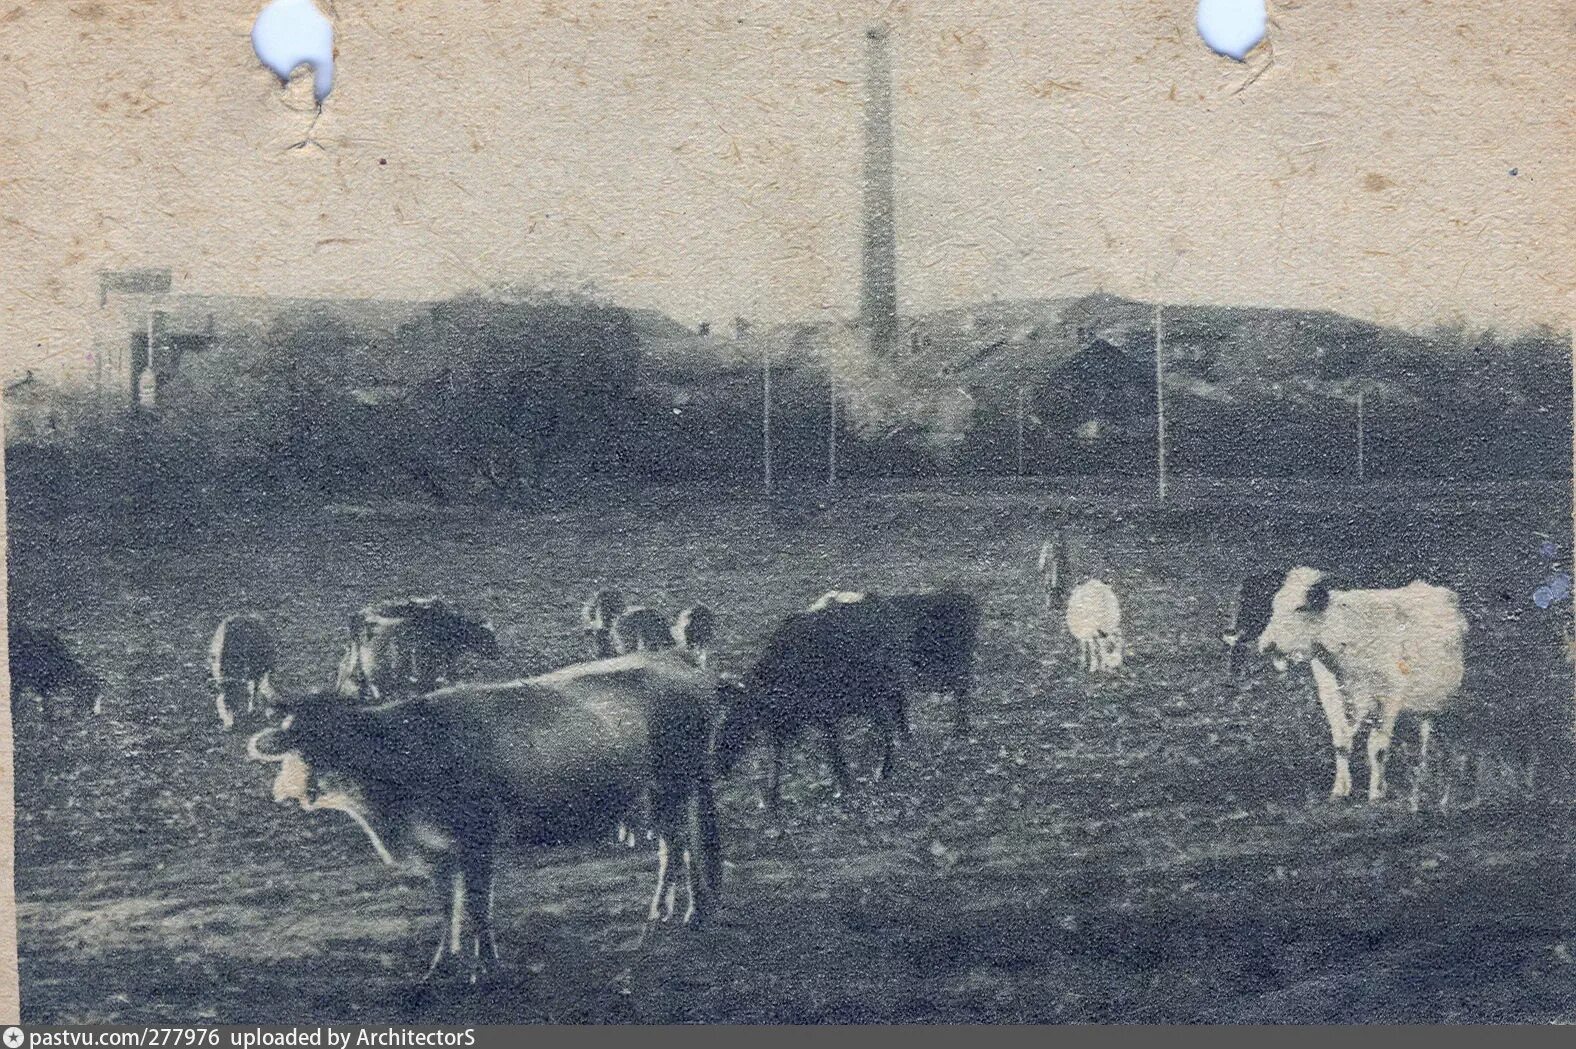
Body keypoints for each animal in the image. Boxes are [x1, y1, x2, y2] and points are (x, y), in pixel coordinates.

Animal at [1248, 563, 1468, 800]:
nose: (1266, 644)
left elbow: (1378, 749)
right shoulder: (1331, 695)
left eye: (1300, 608)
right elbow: (1342, 743)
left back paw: (1422, 768)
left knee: (1425, 732)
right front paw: (1340, 790)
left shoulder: (1389, 696)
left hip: (1433, 698)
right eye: (1275, 606)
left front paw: (1375, 794)